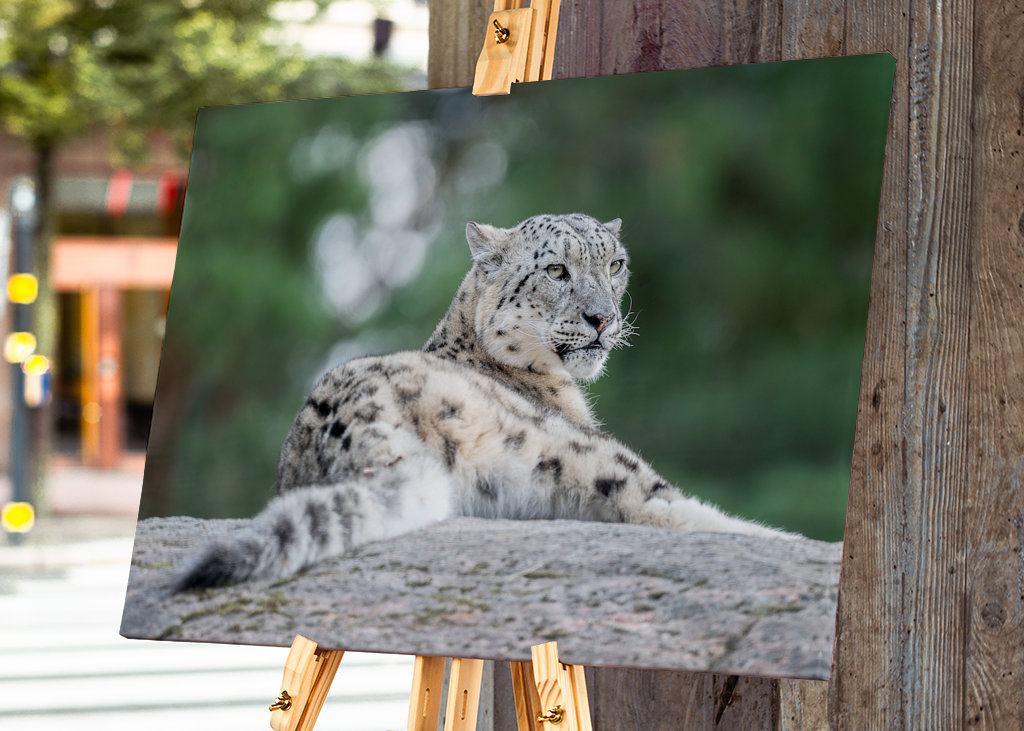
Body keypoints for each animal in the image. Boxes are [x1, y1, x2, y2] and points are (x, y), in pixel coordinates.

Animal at [175, 213, 795, 590]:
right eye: (556, 269)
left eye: (615, 264)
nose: (603, 318)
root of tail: (350, 422)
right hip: (586, 457)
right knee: (671, 508)